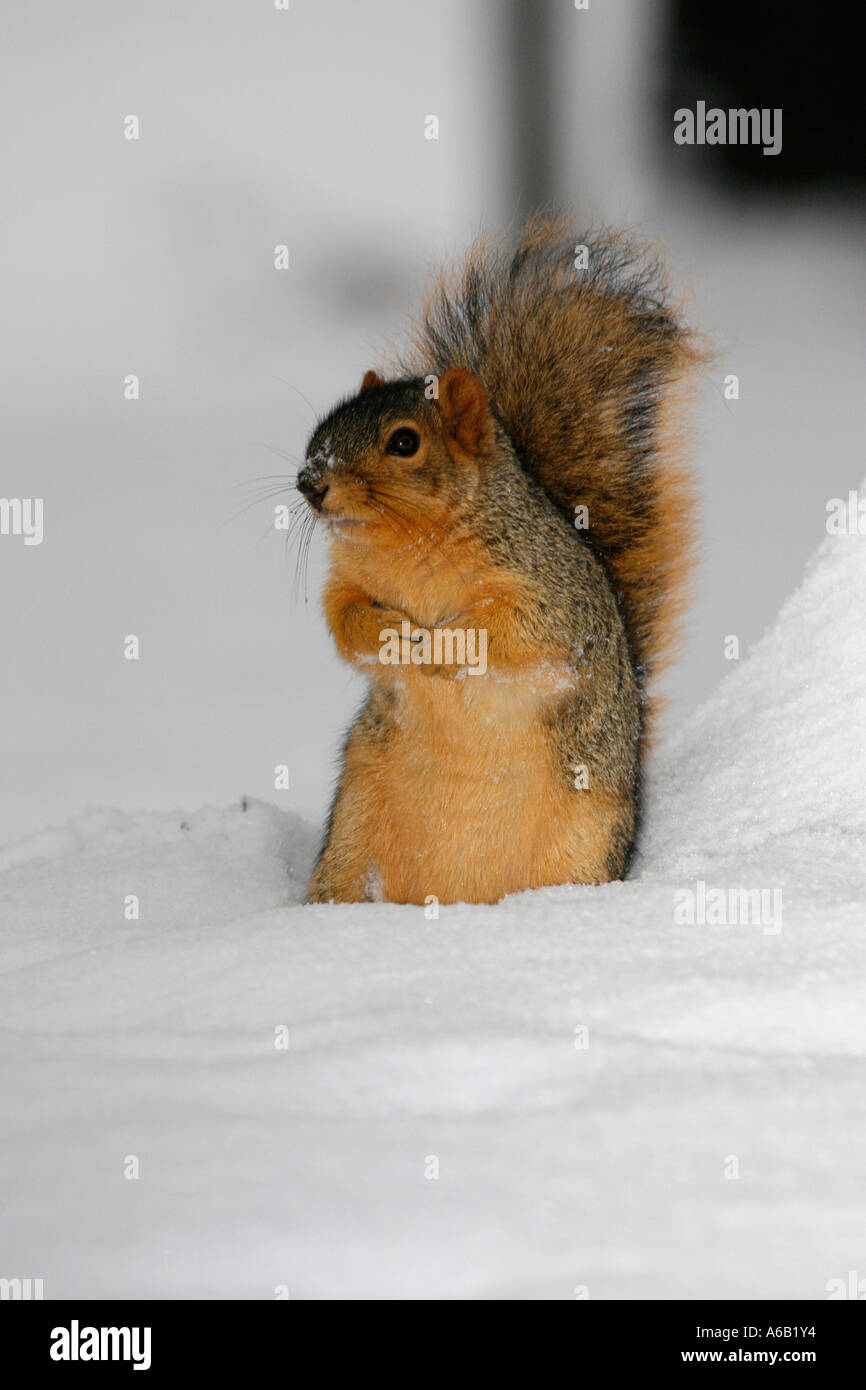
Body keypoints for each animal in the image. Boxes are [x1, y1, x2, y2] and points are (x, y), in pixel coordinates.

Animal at [297, 216, 704, 905]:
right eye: (325, 424)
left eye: (403, 442)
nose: (309, 482)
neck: (412, 546)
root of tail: (465, 897)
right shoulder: (348, 581)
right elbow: (344, 619)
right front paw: (392, 634)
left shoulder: (547, 587)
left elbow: (515, 632)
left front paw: (440, 646)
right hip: (355, 820)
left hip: (585, 838)